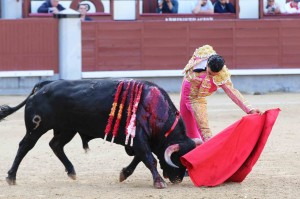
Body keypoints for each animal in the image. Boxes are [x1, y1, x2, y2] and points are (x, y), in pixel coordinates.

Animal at [0, 79, 196, 188]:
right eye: (177, 158)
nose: (178, 179)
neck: (154, 107)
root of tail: (42, 86)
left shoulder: (136, 141)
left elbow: (139, 158)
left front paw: (124, 173)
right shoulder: (139, 138)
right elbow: (149, 158)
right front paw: (159, 182)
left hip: (67, 129)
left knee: (55, 145)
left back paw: (71, 171)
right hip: (37, 128)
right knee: (25, 146)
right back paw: (11, 177)